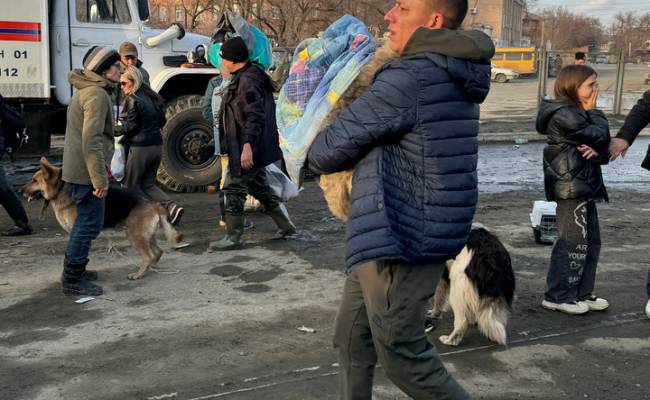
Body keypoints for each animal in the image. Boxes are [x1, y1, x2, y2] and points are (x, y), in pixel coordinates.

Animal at [23, 158, 182, 280]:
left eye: (34, 180)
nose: (20, 191)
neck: (60, 189)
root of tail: (153, 204)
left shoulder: (78, 232)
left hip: (134, 236)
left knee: (149, 256)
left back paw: (139, 274)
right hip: (145, 235)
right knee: (158, 252)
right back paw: (149, 268)